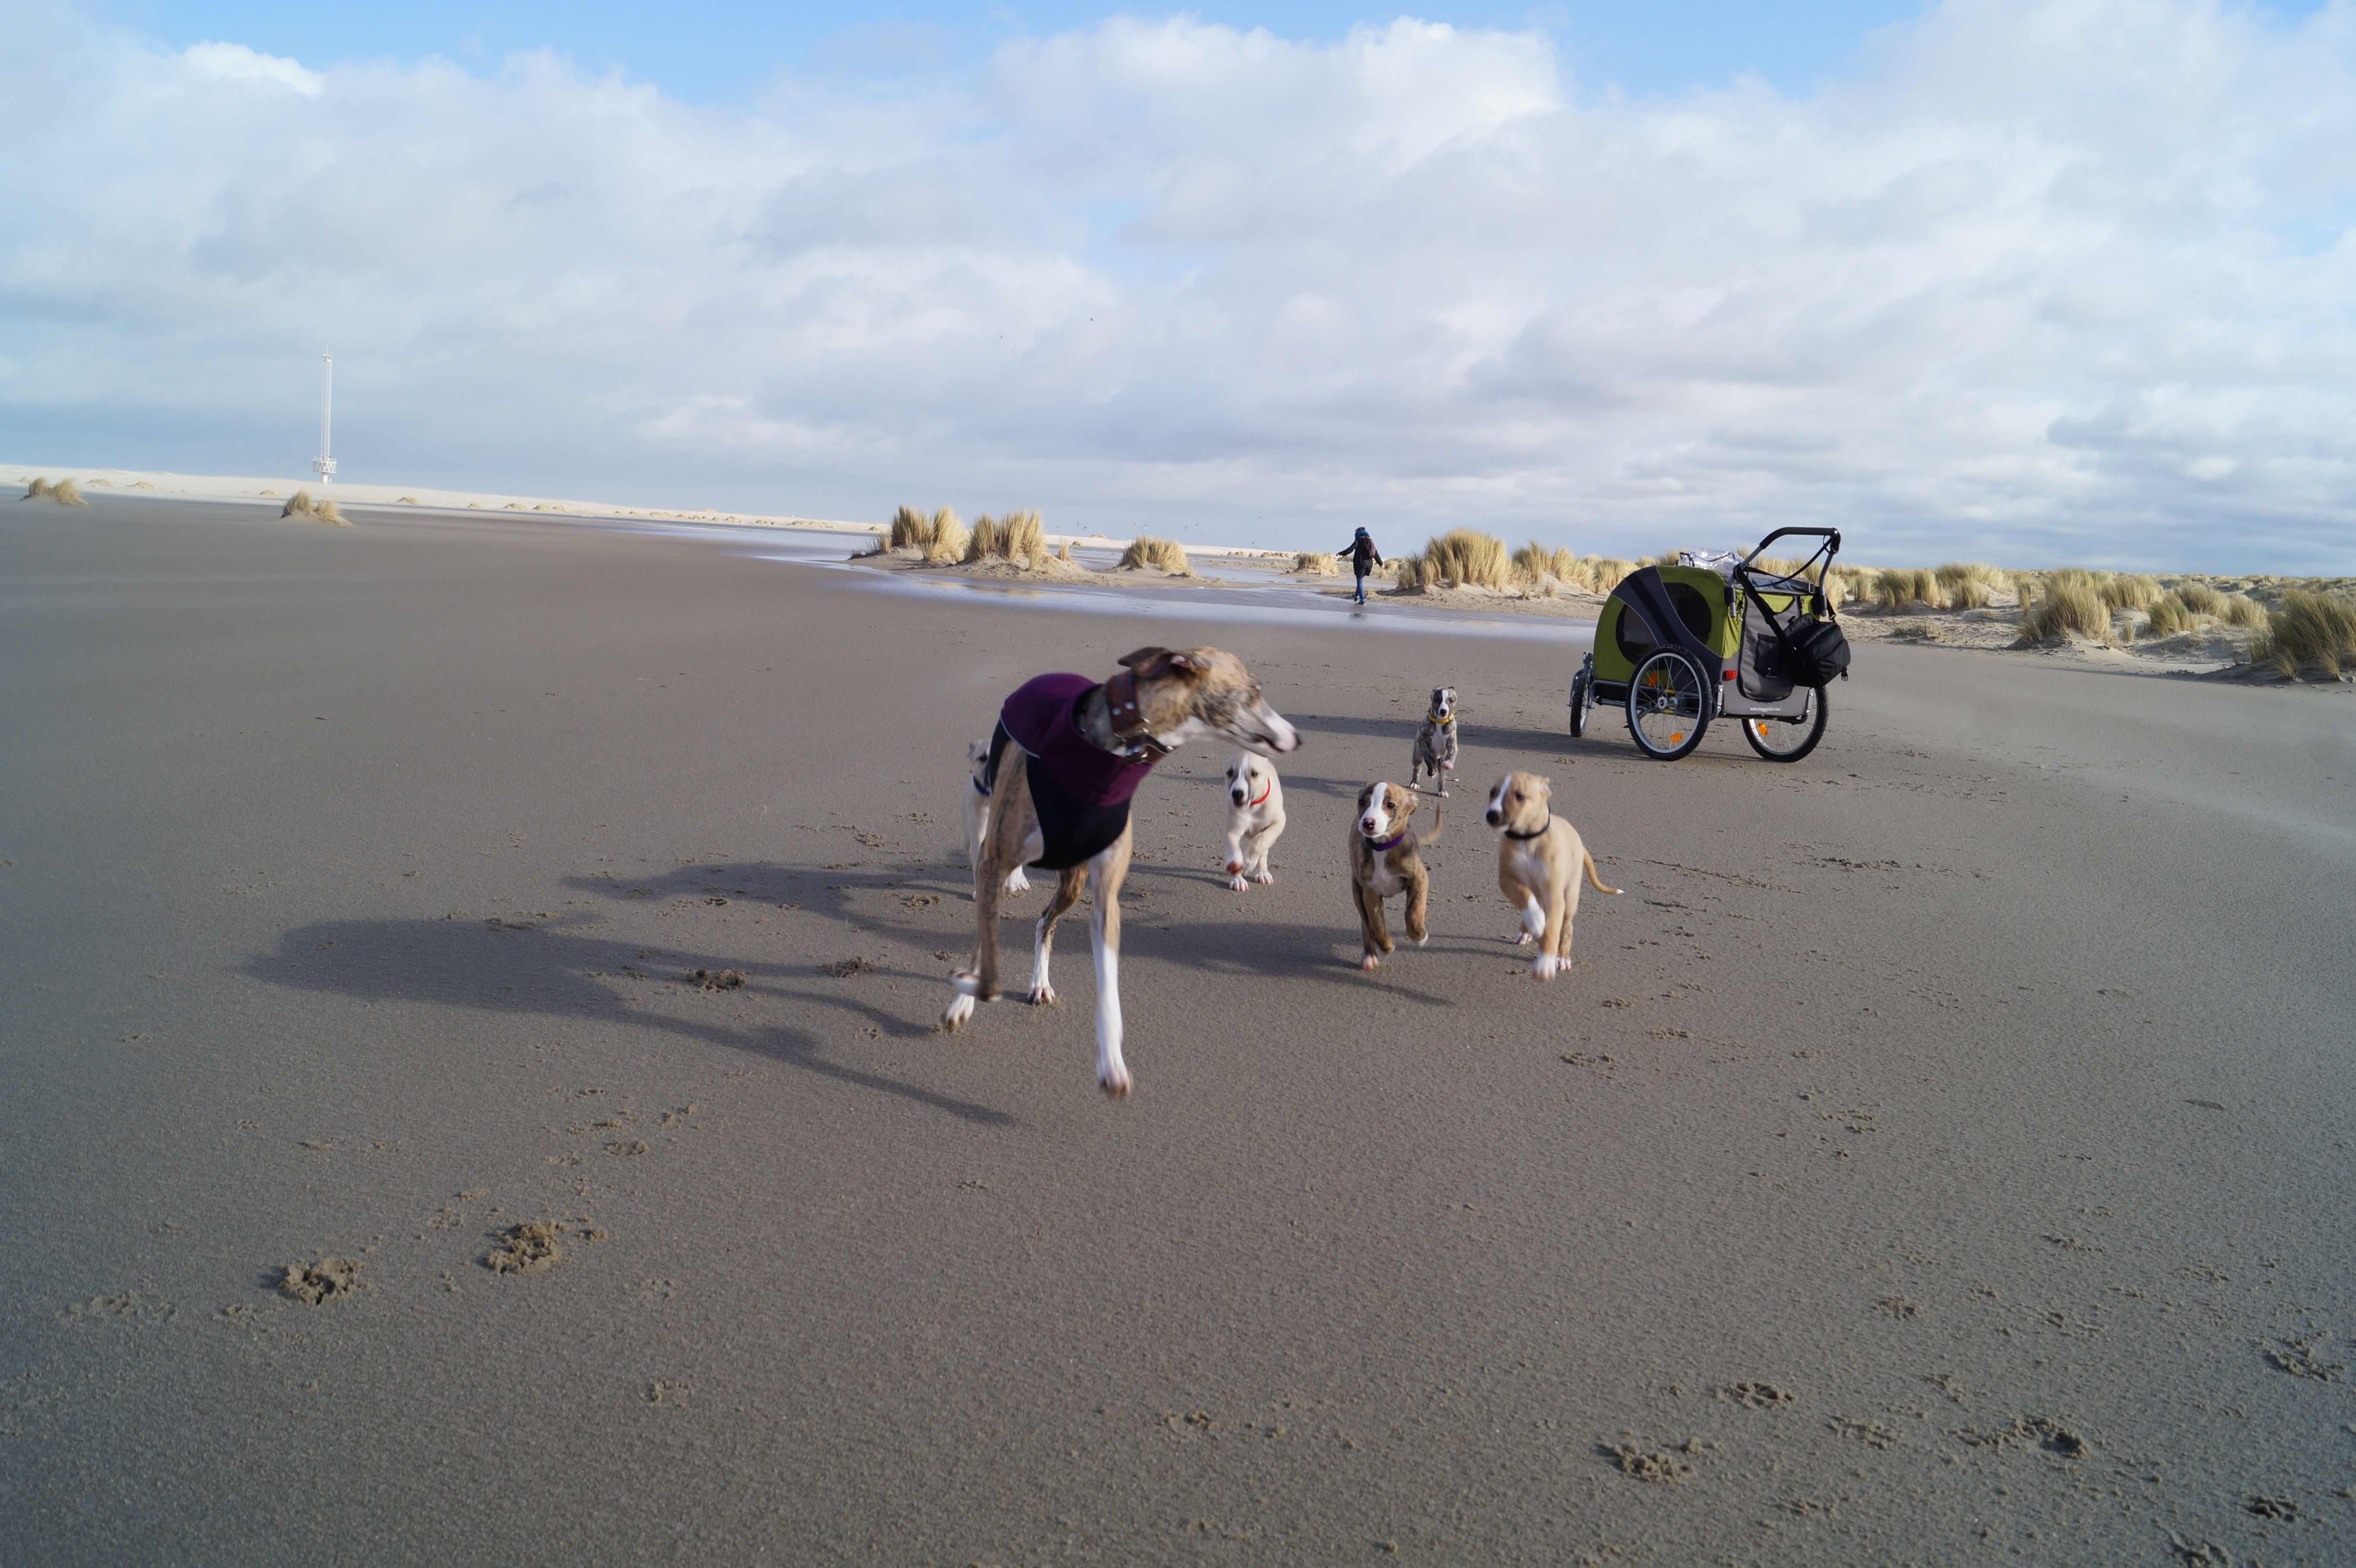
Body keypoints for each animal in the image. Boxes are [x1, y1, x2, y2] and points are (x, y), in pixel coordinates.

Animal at [1221, 751, 1286, 891]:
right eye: (1230, 773)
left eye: (1254, 774)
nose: (1237, 794)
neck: (1253, 806)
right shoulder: (1232, 830)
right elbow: (1234, 849)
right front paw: (1237, 878)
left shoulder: (1279, 822)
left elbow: (1260, 841)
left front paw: (1247, 863)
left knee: (1263, 849)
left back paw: (1263, 873)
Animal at [1350, 781, 1442, 971]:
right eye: (1362, 801)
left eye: (1391, 805)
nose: (1368, 823)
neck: (1382, 847)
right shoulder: (1370, 894)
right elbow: (1377, 925)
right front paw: (1387, 946)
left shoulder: (1419, 879)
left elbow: (1414, 911)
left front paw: (1419, 936)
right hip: (1357, 890)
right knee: (1366, 924)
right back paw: (1370, 956)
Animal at [1410, 686, 1459, 796]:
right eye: (1437, 700)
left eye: (1451, 700)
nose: (1444, 711)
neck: (1440, 722)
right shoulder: (1422, 741)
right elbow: (1429, 757)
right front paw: (1432, 771)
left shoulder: (1452, 742)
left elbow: (1451, 755)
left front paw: (1449, 764)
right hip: (1417, 755)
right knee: (1418, 768)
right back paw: (1415, 783)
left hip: (1440, 759)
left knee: (1442, 774)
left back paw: (1442, 790)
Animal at [1484, 770, 1620, 981]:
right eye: (1492, 792)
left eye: (1520, 796)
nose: (1492, 815)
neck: (1527, 839)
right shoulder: (1507, 880)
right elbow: (1523, 897)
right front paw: (1536, 922)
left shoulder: (1554, 895)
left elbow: (1552, 931)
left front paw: (1545, 964)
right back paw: (1527, 931)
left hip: (1570, 896)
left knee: (1567, 927)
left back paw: (1562, 957)